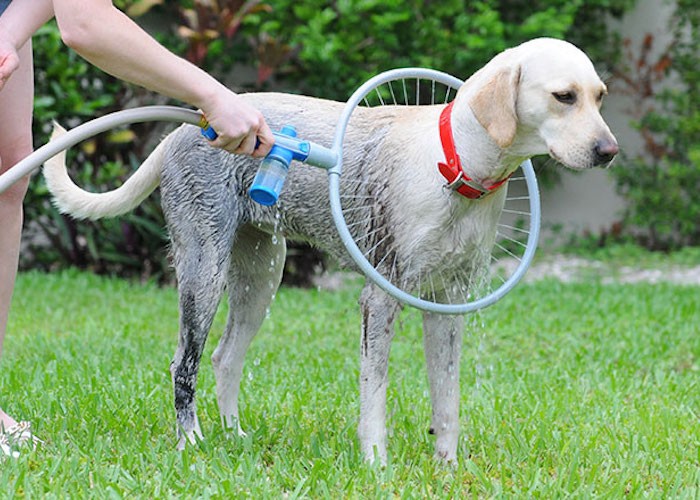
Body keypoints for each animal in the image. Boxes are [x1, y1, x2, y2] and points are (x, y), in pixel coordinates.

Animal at [43, 37, 616, 462]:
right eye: (564, 96)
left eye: (599, 96)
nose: (609, 151)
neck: (454, 165)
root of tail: (183, 130)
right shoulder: (379, 301)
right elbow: (375, 395)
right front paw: (377, 464)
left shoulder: (448, 305)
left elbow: (447, 399)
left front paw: (448, 469)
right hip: (203, 270)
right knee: (184, 364)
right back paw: (192, 440)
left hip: (260, 279)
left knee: (226, 359)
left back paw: (233, 436)